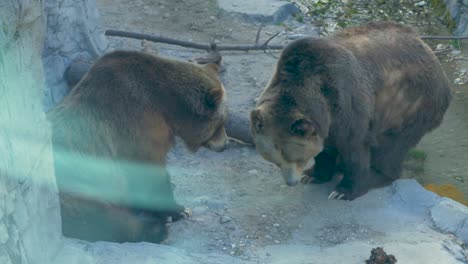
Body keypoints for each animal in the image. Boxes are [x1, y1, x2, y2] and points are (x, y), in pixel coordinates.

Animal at [48, 49, 230, 243]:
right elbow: (149, 172)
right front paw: (179, 210)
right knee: (100, 219)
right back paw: (155, 229)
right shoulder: (137, 125)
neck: (166, 105)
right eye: (221, 122)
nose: (225, 144)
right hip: (75, 185)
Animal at [250, 21, 452, 200]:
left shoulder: (348, 103)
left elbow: (354, 147)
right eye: (274, 160)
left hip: (411, 103)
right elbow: (326, 148)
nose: (291, 182)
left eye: (297, 158)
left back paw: (377, 174)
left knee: (392, 146)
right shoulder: (325, 121)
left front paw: (343, 190)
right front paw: (314, 174)